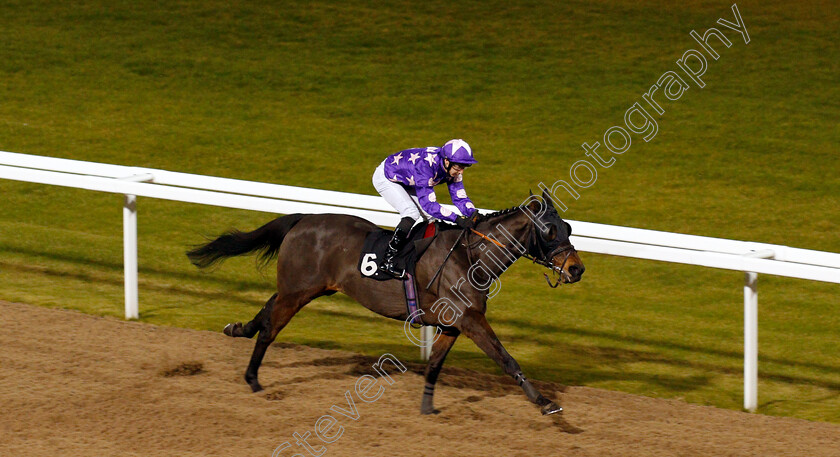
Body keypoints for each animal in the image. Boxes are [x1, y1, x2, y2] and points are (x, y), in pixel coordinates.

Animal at [188, 191, 584, 416]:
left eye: (568, 228)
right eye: (549, 231)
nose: (576, 269)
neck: (472, 257)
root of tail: (303, 218)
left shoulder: (452, 324)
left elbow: (435, 365)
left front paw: (427, 407)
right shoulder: (470, 320)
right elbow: (506, 358)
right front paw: (545, 403)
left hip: (301, 287)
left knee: (266, 309)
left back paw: (236, 329)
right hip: (298, 290)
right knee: (271, 327)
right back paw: (253, 379)